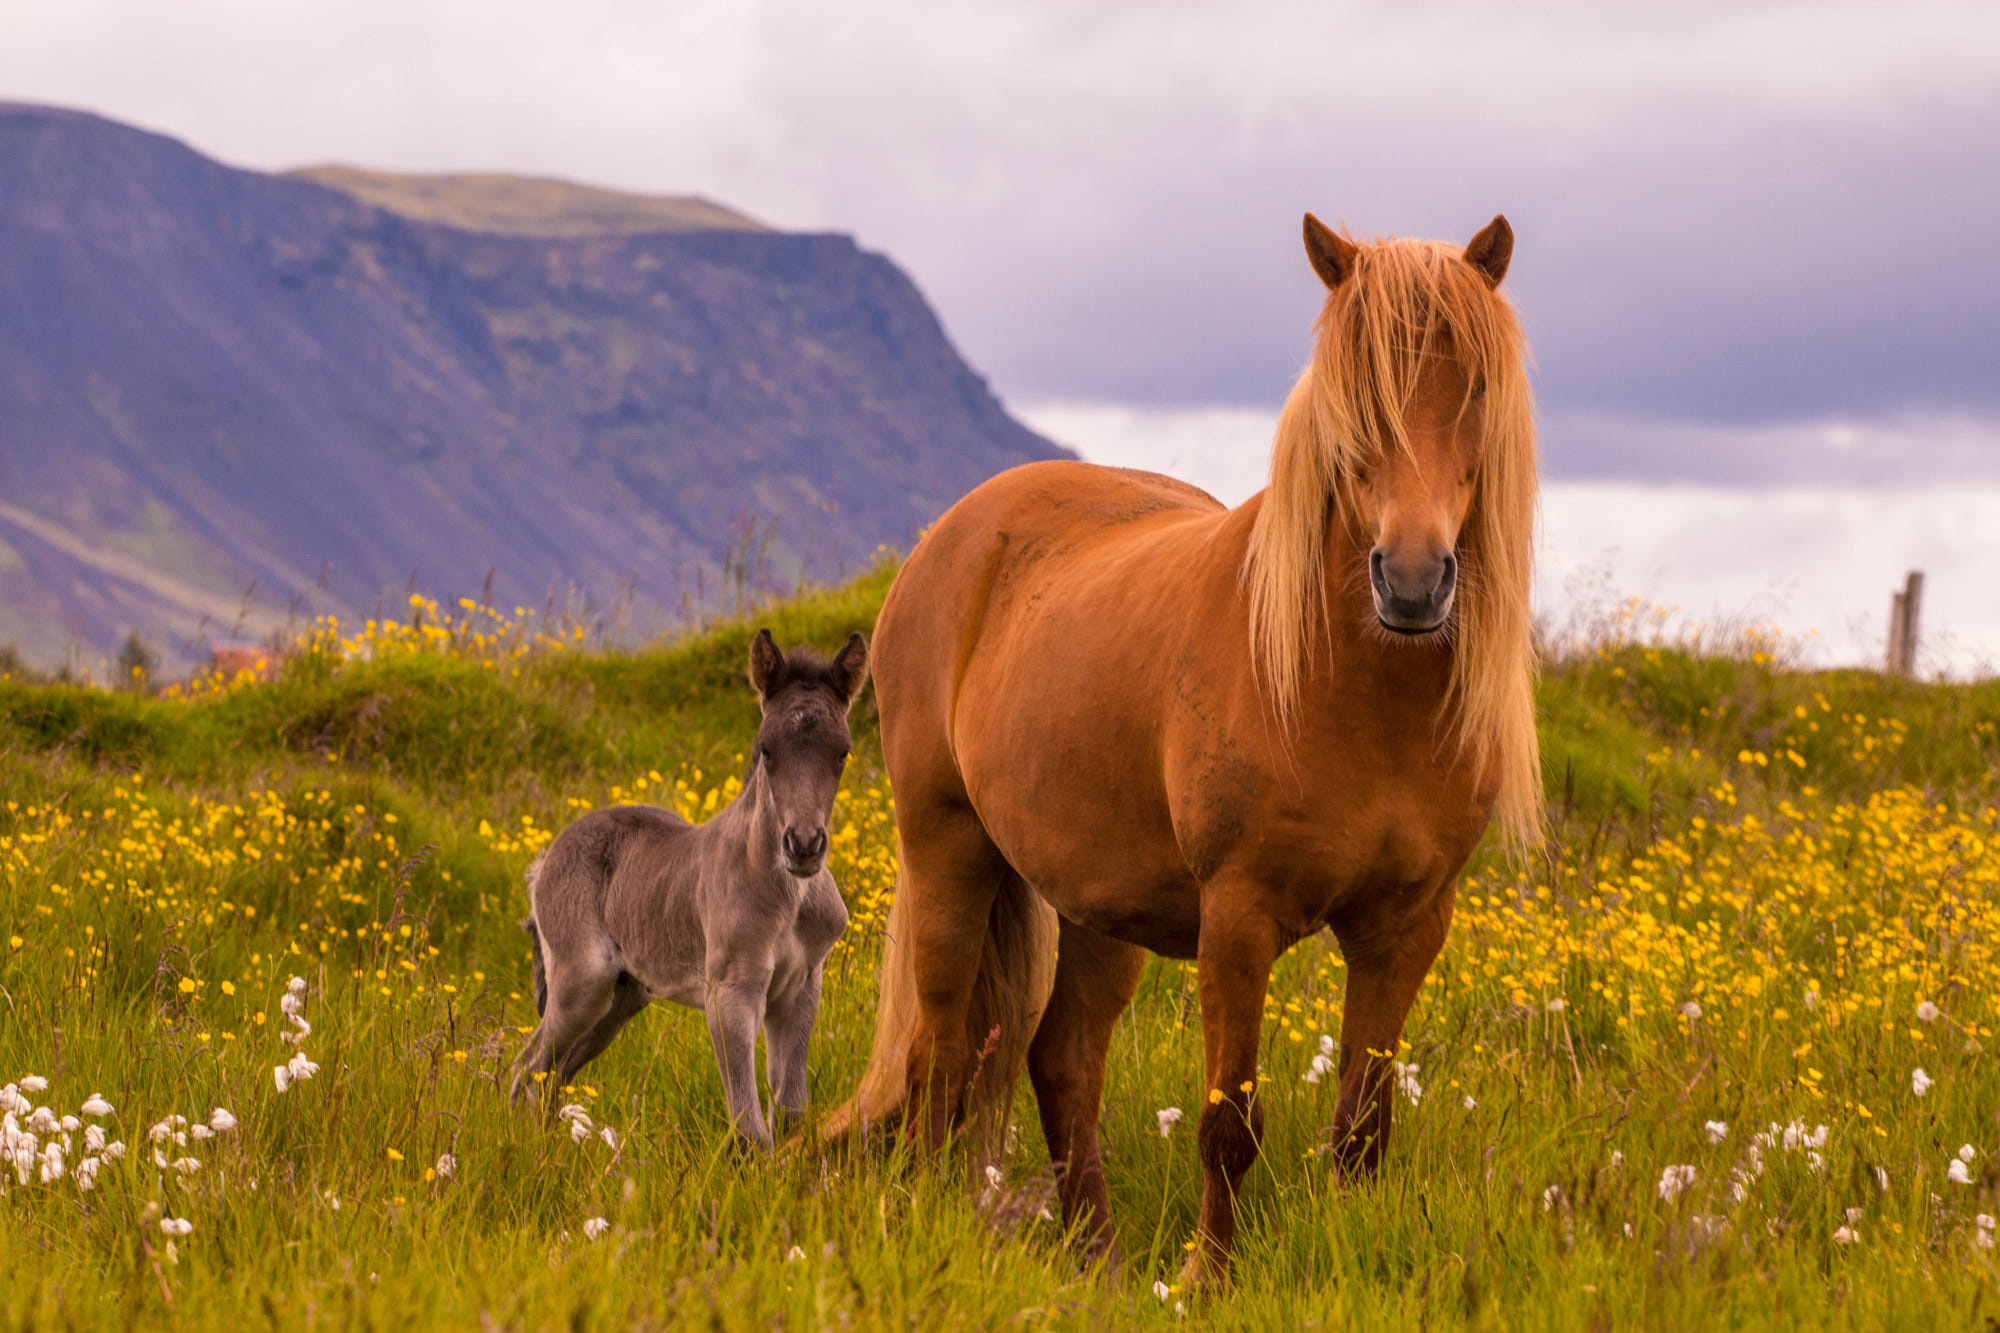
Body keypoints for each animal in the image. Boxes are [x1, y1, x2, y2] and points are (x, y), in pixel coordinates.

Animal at [820, 213, 1536, 1280]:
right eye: (1349, 392)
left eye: (1477, 386)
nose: (1412, 580)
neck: (1360, 697)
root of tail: (952, 537)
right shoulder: (1238, 915)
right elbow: (1229, 1123)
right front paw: (1208, 1277)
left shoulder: (1406, 926)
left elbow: (1361, 1126)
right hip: (949, 848)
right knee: (940, 1054)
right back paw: (926, 1217)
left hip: (1098, 903)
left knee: (1059, 1058)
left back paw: (1098, 1255)